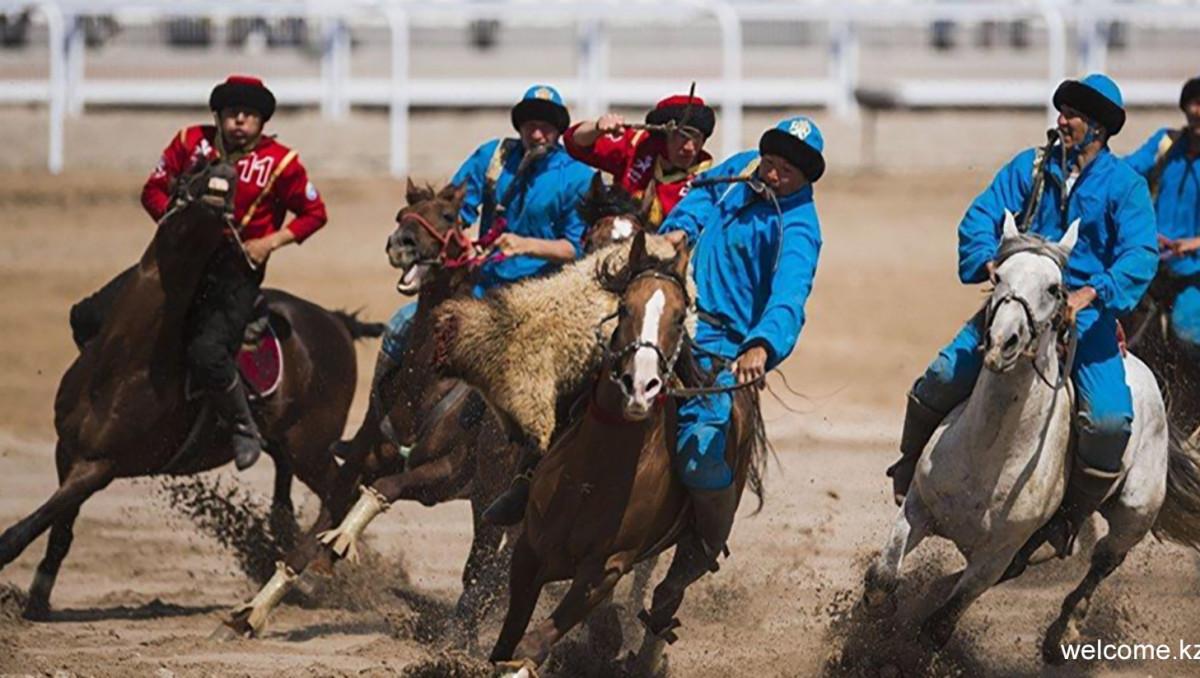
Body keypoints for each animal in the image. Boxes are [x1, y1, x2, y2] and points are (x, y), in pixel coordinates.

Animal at [0, 157, 379, 619]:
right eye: (191, 169)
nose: (223, 171)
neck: (124, 361)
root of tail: (335, 321)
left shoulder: (99, 465)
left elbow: (26, 529)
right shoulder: (66, 451)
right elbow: (59, 531)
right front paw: (37, 600)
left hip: (312, 448)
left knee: (339, 493)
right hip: (288, 446)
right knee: (284, 508)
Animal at [484, 230, 768, 672]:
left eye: (678, 317)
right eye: (623, 307)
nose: (640, 386)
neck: (592, 475)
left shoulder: (603, 572)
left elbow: (532, 644)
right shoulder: (529, 551)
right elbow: (507, 640)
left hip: (695, 542)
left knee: (668, 598)